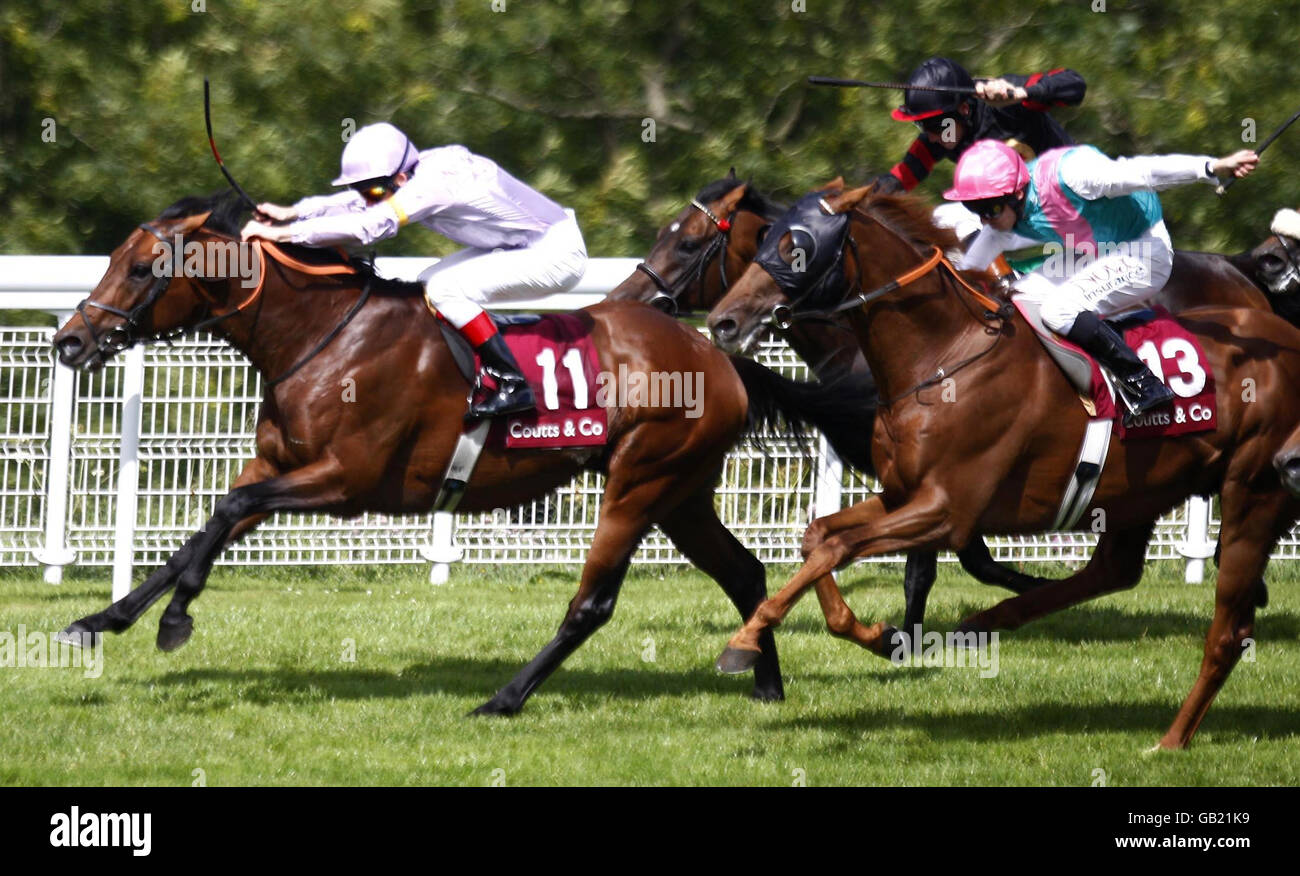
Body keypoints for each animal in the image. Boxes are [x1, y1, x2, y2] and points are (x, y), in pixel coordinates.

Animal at [53, 189, 873, 707]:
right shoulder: (283, 463)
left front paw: (173, 622)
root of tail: (714, 354)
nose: (69, 342)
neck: (322, 336)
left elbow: (227, 511)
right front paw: (100, 621)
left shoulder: (345, 481)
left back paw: (503, 698)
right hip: (682, 494)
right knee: (743, 570)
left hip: (642, 482)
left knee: (595, 602)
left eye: (141, 267)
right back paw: (765, 684)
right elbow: (207, 526)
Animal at [707, 184, 1300, 743]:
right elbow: (819, 537)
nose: (723, 322)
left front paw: (745, 641)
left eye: (797, 248)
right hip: (1139, 493)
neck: (943, 357)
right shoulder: (904, 494)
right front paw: (877, 634)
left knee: (1227, 629)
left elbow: (838, 546)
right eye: (761, 243)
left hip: (1254, 488)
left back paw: (1170, 739)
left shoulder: (947, 510)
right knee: (1115, 571)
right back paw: (985, 623)